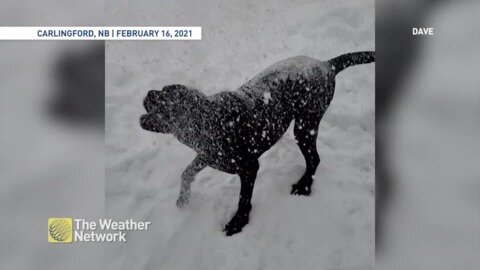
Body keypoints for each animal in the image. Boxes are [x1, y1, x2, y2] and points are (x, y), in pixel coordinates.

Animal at [140, 51, 376, 235]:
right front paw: (183, 200)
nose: (148, 92)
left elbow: (243, 198)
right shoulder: (206, 156)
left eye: (166, 97)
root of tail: (326, 64)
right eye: (161, 89)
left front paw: (238, 223)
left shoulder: (249, 167)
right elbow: (186, 173)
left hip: (305, 127)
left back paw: (304, 185)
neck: (213, 122)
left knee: (314, 159)